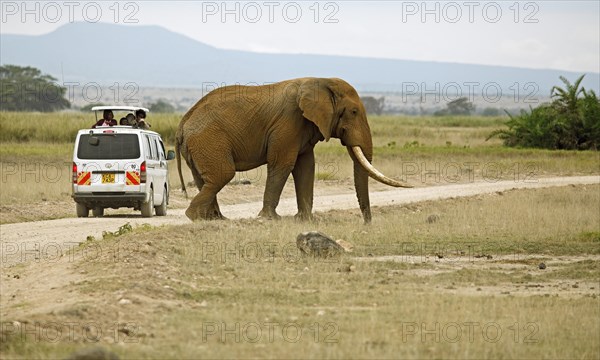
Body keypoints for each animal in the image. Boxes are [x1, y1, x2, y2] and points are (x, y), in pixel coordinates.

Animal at [176, 76, 410, 222]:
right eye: (353, 112)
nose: (367, 224)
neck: (321, 81)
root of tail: (183, 122)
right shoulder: (288, 122)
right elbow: (283, 164)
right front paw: (271, 219)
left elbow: (306, 167)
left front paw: (306, 220)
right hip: (208, 140)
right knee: (223, 175)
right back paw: (195, 217)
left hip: (199, 145)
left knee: (205, 179)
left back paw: (214, 219)